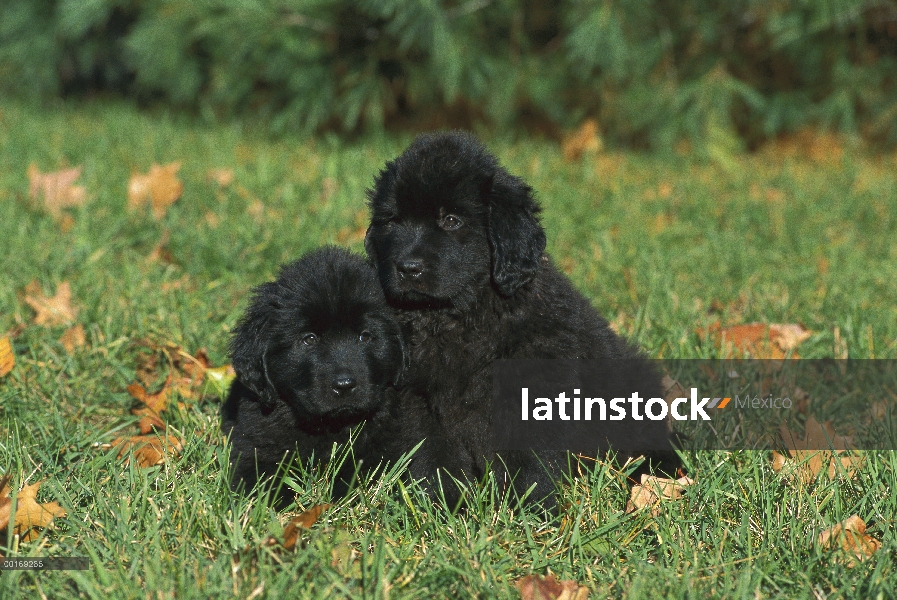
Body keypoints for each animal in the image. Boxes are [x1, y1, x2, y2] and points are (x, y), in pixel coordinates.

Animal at [366, 131, 680, 506]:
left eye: (451, 220)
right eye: (392, 221)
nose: (408, 267)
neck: (458, 316)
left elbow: (530, 456)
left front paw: (532, 508)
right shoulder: (415, 397)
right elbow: (432, 454)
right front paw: (442, 505)